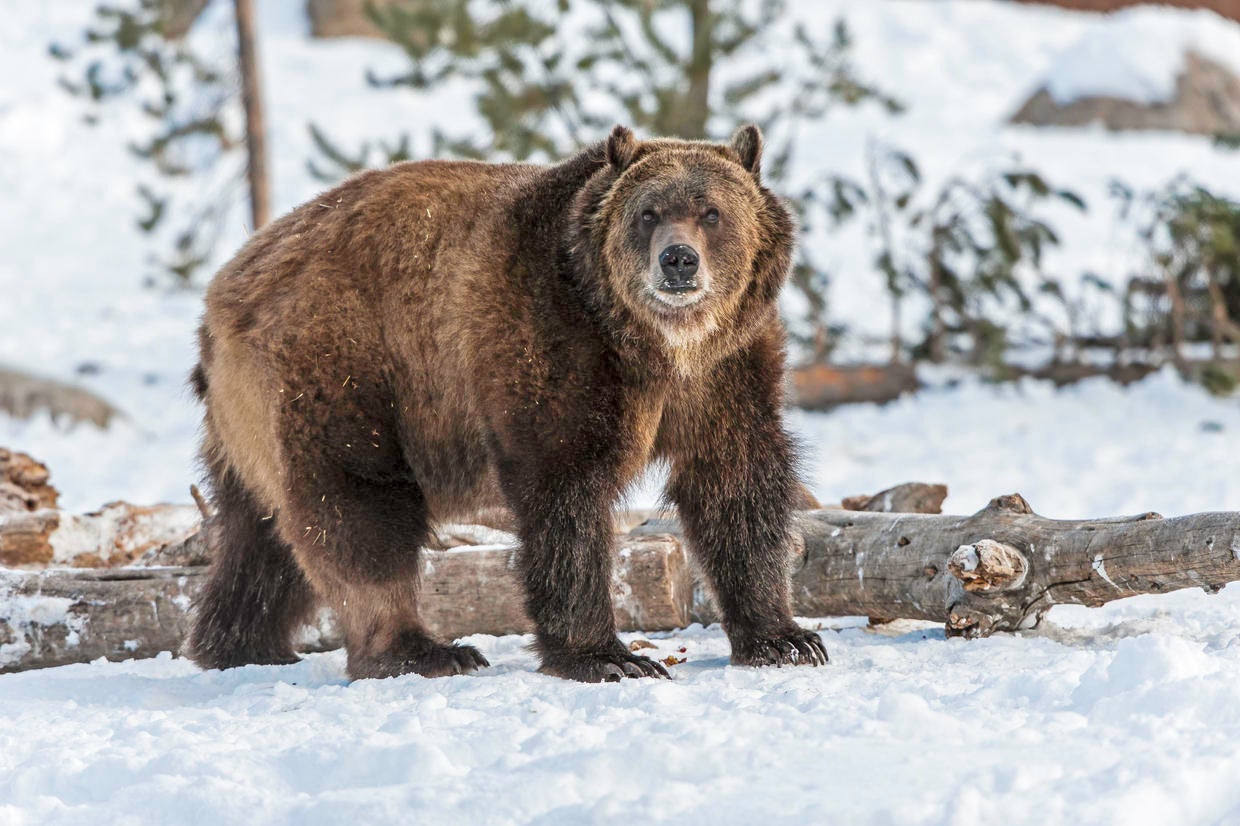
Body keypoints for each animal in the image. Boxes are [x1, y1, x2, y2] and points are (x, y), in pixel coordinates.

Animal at [188, 120, 828, 674]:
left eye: (711, 212)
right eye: (647, 214)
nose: (678, 259)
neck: (653, 342)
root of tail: (221, 292)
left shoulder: (727, 369)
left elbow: (736, 483)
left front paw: (785, 638)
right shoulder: (547, 340)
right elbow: (563, 491)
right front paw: (606, 656)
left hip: (249, 427)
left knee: (259, 539)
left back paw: (239, 643)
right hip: (342, 368)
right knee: (356, 507)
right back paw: (420, 649)